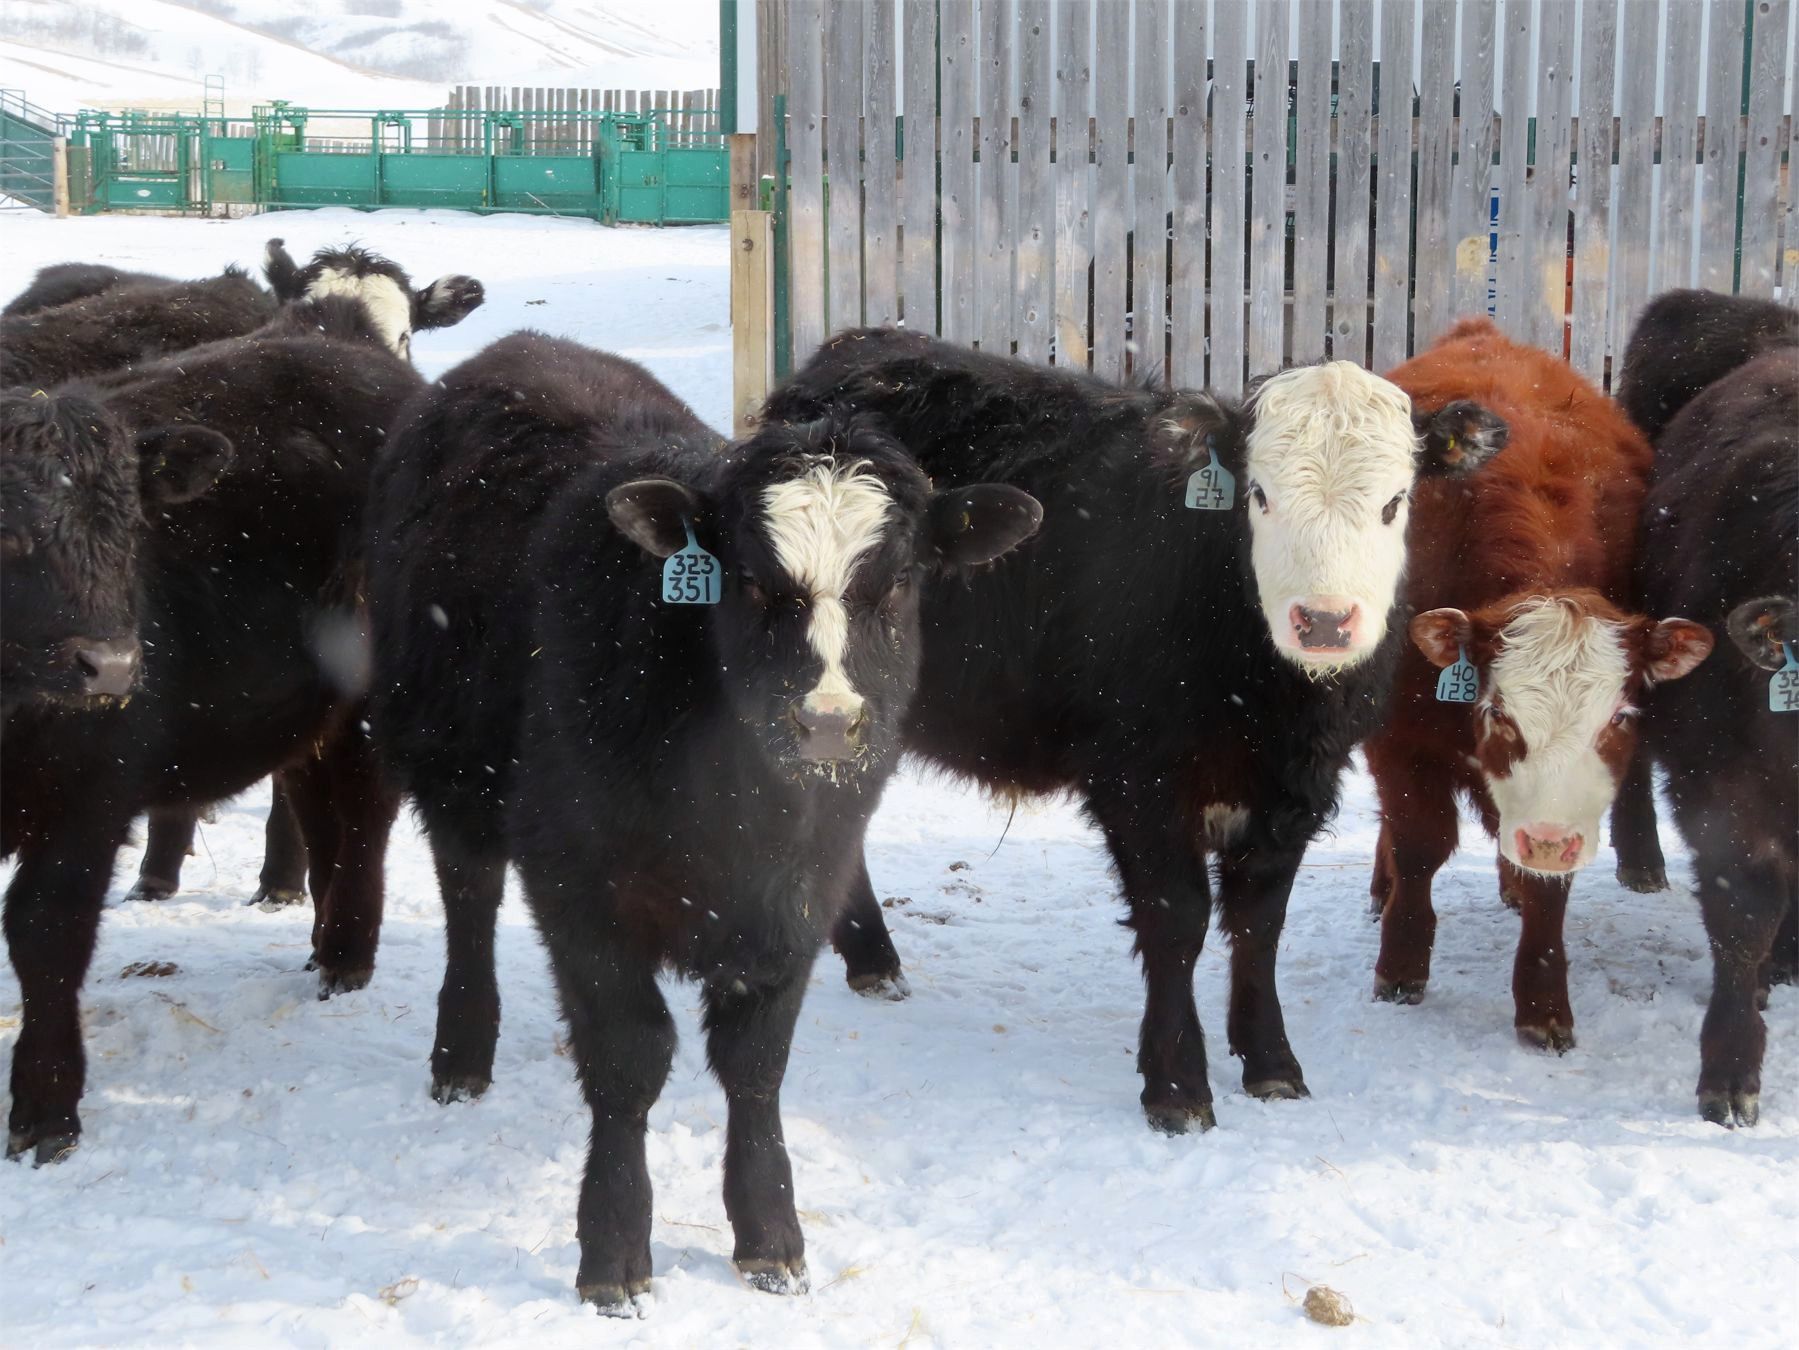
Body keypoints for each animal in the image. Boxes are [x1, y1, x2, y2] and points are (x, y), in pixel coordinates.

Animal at [2, 313, 420, 1164]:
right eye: (4, 530)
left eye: (131, 528)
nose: (113, 664)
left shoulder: (89, 796)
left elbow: (45, 929)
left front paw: (45, 1110)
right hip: (306, 714)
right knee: (319, 811)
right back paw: (322, 939)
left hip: (366, 701)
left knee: (364, 817)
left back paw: (345, 959)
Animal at [366, 331, 1041, 1312]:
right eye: (752, 584)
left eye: (898, 583)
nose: (827, 721)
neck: (731, 800)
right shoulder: (578, 883)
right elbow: (629, 1056)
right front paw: (612, 1249)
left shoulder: (802, 888)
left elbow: (755, 1064)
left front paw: (769, 1234)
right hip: (446, 765)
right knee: (469, 898)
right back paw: (461, 1051)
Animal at [759, 326, 1504, 1134]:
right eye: (1260, 495)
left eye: (1395, 502)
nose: (1326, 621)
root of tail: (852, 351)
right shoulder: (1137, 776)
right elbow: (1177, 918)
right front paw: (1177, 1086)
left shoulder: (1301, 782)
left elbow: (1259, 919)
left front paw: (1271, 1061)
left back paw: (869, 957)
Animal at [1359, 319, 1713, 1051]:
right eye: (1497, 713)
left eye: (1619, 718)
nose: (1548, 839)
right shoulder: (1399, 737)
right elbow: (1416, 845)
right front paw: (1401, 965)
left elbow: (1549, 889)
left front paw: (1544, 1003)